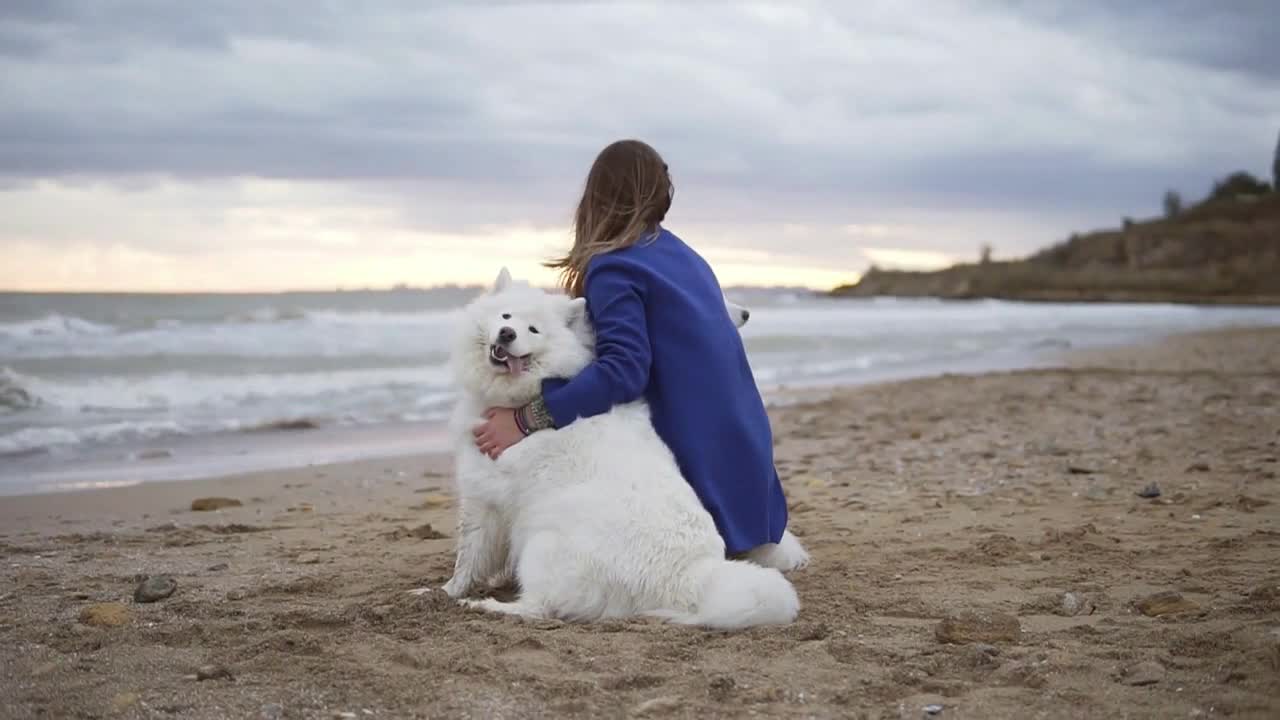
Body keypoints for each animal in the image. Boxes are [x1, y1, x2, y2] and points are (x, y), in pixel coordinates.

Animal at [435, 269, 803, 627]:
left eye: (533, 330)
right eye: (506, 315)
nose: (507, 333)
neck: (524, 394)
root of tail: (687, 578)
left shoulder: (484, 497)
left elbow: (468, 556)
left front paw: (445, 593)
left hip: (543, 546)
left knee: (541, 607)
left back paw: (487, 607)